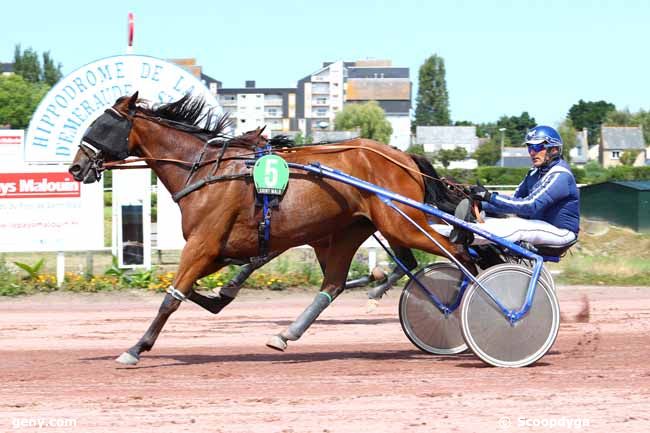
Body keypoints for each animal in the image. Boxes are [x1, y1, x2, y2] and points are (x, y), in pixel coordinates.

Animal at [68, 92, 468, 364]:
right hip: (353, 229)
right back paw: (287, 333)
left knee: (459, 253)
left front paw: (136, 348)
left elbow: (172, 297)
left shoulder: (203, 245)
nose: (76, 167)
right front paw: (219, 295)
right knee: (337, 283)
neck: (207, 171)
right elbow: (202, 289)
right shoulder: (222, 247)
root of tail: (403, 157)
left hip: (401, 222)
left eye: (101, 126)